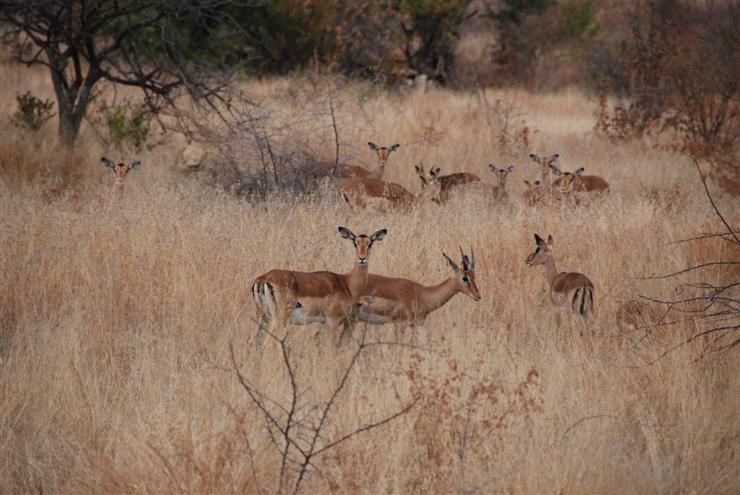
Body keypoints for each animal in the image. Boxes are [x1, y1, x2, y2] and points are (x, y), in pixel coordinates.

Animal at [251, 227, 387, 347]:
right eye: (355, 242)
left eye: (370, 243)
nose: (362, 258)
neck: (347, 283)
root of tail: (263, 278)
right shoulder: (333, 320)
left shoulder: (323, 322)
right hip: (279, 319)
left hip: (265, 317)